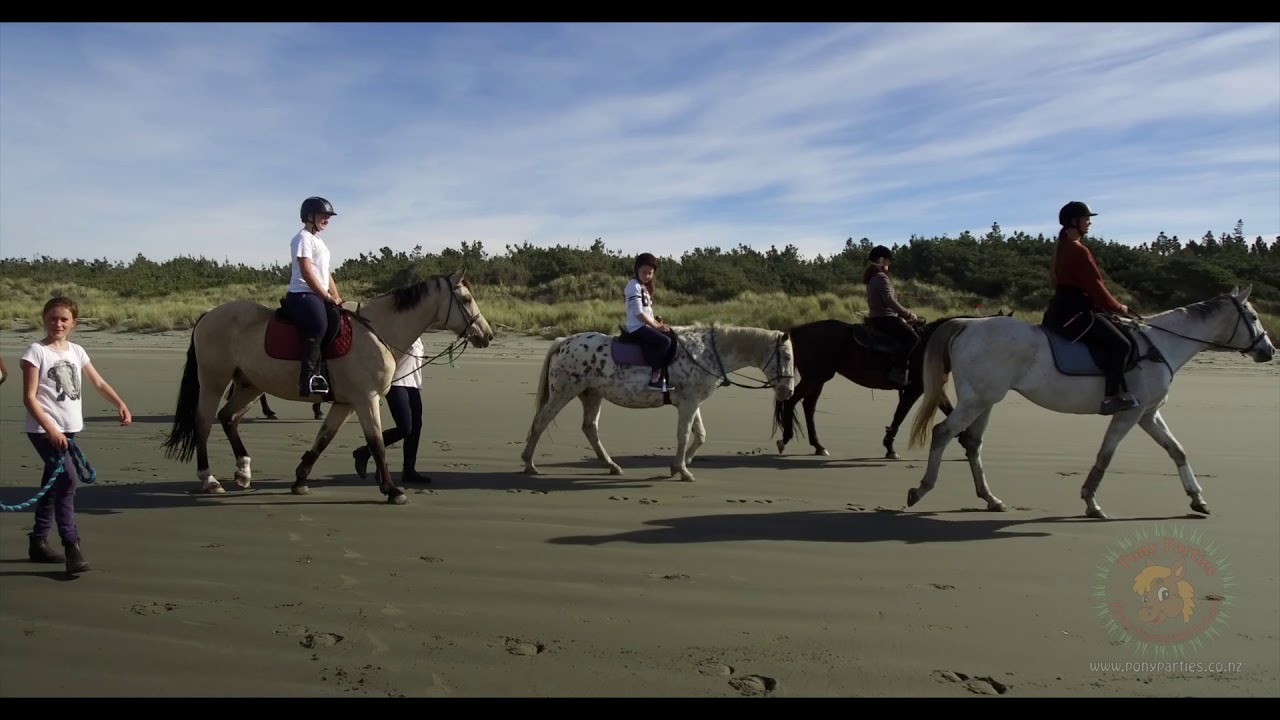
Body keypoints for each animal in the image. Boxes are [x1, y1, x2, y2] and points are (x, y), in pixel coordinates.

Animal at [161, 270, 494, 505]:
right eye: (466, 300)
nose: (487, 335)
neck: (376, 332)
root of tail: (208, 314)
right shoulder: (366, 400)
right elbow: (376, 443)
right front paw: (392, 489)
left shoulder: (345, 403)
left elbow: (324, 438)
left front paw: (300, 480)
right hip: (213, 381)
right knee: (204, 423)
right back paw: (209, 479)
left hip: (250, 385)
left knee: (228, 418)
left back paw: (243, 471)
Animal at [521, 322, 796, 482]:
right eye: (786, 356)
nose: (788, 391)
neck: (704, 353)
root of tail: (562, 342)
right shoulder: (688, 403)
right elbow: (684, 435)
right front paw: (683, 470)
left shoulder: (692, 402)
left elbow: (700, 435)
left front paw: (679, 465)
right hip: (563, 392)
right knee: (540, 422)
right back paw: (529, 464)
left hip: (592, 394)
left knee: (590, 428)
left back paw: (612, 466)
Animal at [772, 310, 1013, 459]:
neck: (931, 344)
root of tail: (798, 330)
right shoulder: (915, 389)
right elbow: (900, 415)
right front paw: (889, 447)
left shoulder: (931, 389)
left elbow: (947, 410)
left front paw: (965, 442)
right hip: (815, 377)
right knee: (793, 402)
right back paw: (786, 438)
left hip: (819, 378)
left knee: (808, 406)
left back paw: (818, 446)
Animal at [904, 286, 1274, 519]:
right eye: (1254, 317)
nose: (1269, 351)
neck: (1160, 345)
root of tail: (967, 324)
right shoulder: (1130, 413)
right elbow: (1106, 455)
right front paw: (1091, 502)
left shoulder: (1149, 414)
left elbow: (1177, 451)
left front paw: (1198, 499)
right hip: (977, 401)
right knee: (943, 433)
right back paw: (921, 489)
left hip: (985, 401)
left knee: (972, 444)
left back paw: (990, 499)